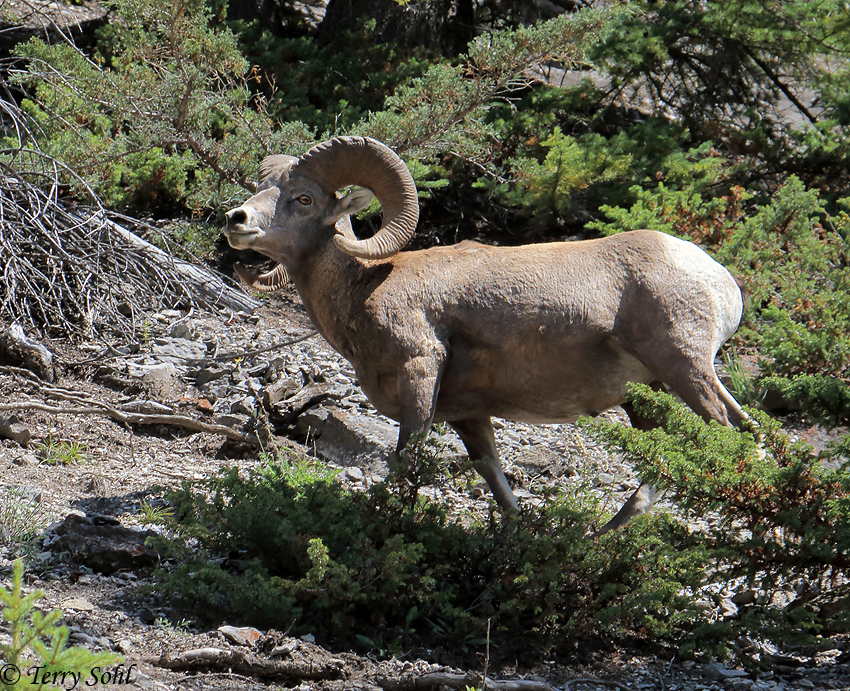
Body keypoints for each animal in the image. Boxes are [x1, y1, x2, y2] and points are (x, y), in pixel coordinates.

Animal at [223, 136, 746, 533]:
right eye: (260, 190)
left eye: (303, 198)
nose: (236, 220)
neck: (367, 286)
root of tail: (718, 279)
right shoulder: (469, 417)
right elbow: (499, 488)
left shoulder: (420, 375)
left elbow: (405, 461)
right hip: (649, 395)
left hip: (684, 368)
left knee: (724, 433)